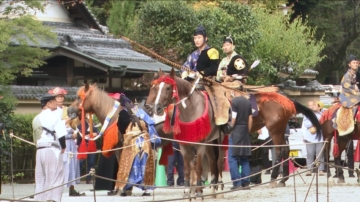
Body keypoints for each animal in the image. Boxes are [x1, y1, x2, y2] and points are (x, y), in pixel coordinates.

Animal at [146, 68, 320, 193]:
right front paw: (201, 186)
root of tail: (286, 99)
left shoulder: (204, 141)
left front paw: (207, 186)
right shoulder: (195, 141)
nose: (154, 107)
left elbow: (204, 163)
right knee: (286, 150)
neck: (193, 108)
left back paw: (275, 179)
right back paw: (282, 179)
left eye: (168, 88)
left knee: (280, 151)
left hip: (275, 129)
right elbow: (199, 164)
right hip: (281, 129)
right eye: (153, 87)